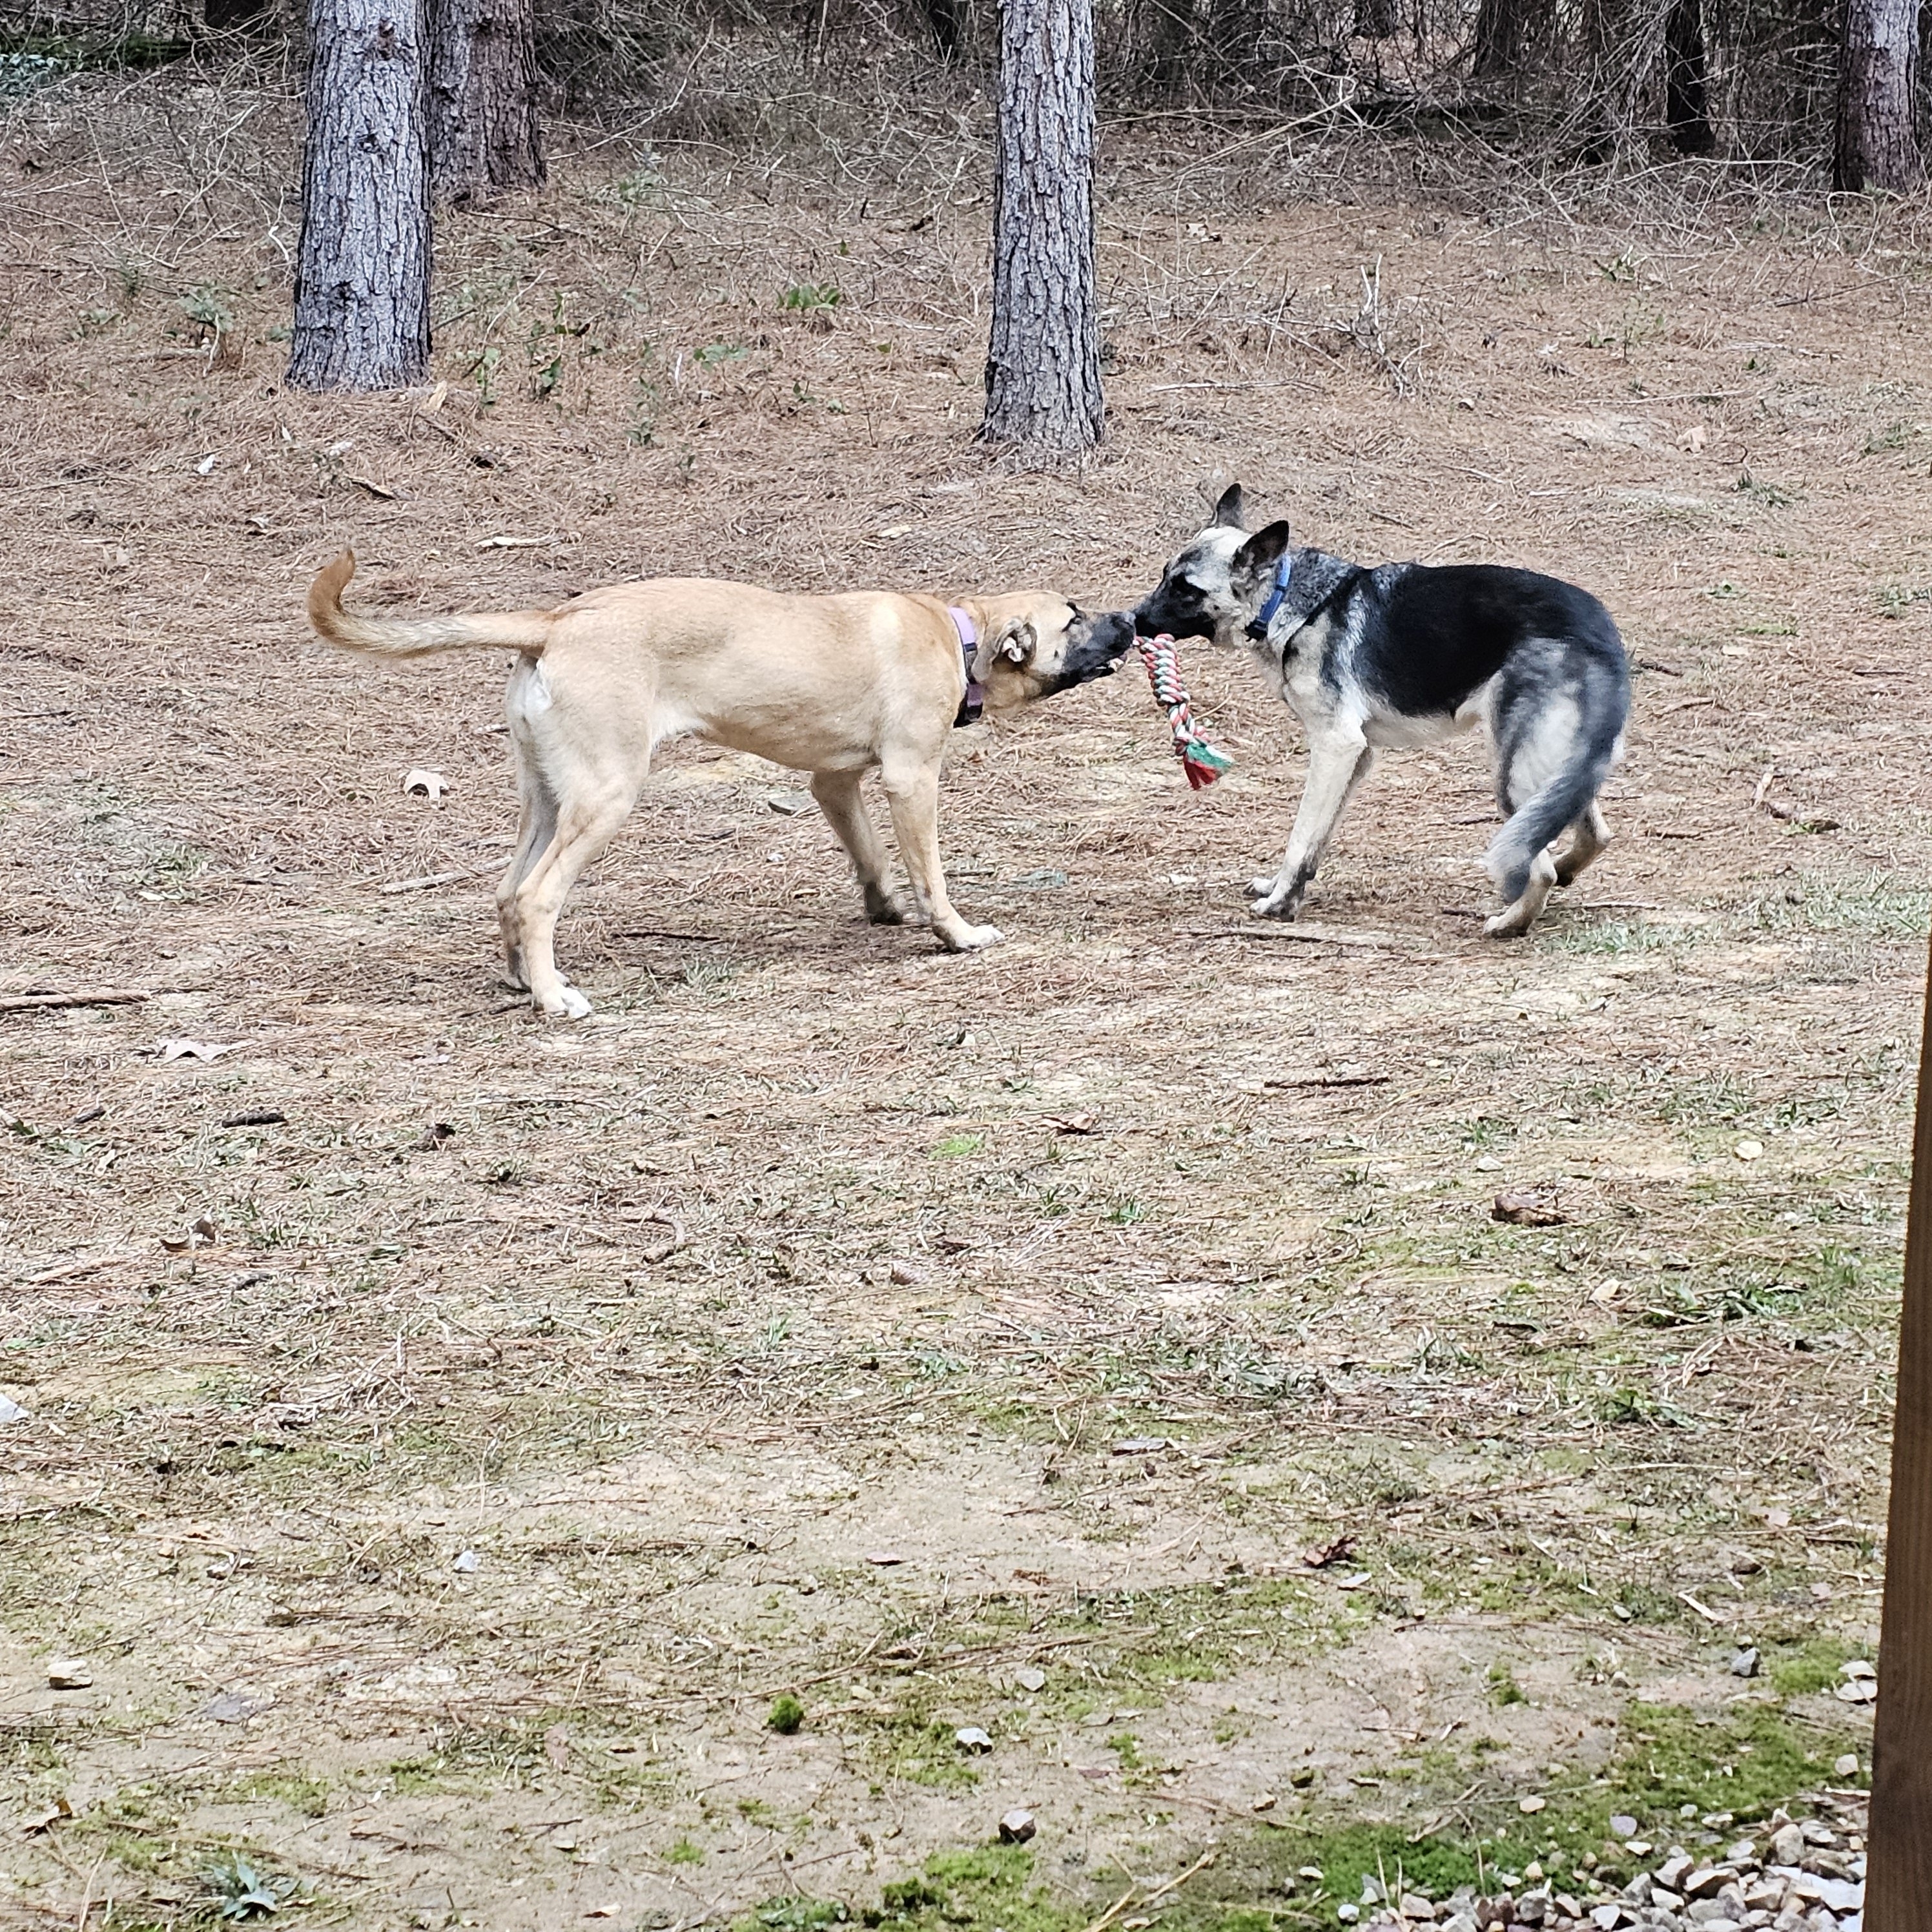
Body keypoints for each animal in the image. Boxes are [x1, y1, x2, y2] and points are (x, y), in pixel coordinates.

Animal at [307, 553, 1135, 1017]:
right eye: (1075, 617)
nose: (1132, 617)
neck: (958, 635)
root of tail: (556, 621)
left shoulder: (833, 781)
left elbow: (870, 855)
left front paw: (884, 908)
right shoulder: (911, 779)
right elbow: (931, 873)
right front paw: (955, 933)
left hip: (547, 796)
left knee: (509, 891)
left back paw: (525, 982)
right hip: (606, 795)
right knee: (539, 896)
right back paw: (555, 1000)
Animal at [1132, 486, 1630, 936]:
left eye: (1186, 589)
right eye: (1164, 575)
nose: (1132, 620)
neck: (1287, 600)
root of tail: (1601, 633)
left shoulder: (1335, 747)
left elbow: (1301, 834)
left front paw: (1281, 904)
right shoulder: (1357, 757)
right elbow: (1316, 839)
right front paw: (1283, 889)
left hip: (1512, 776)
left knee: (1538, 863)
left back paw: (1510, 923)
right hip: (1559, 767)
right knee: (1591, 834)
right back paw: (1563, 873)